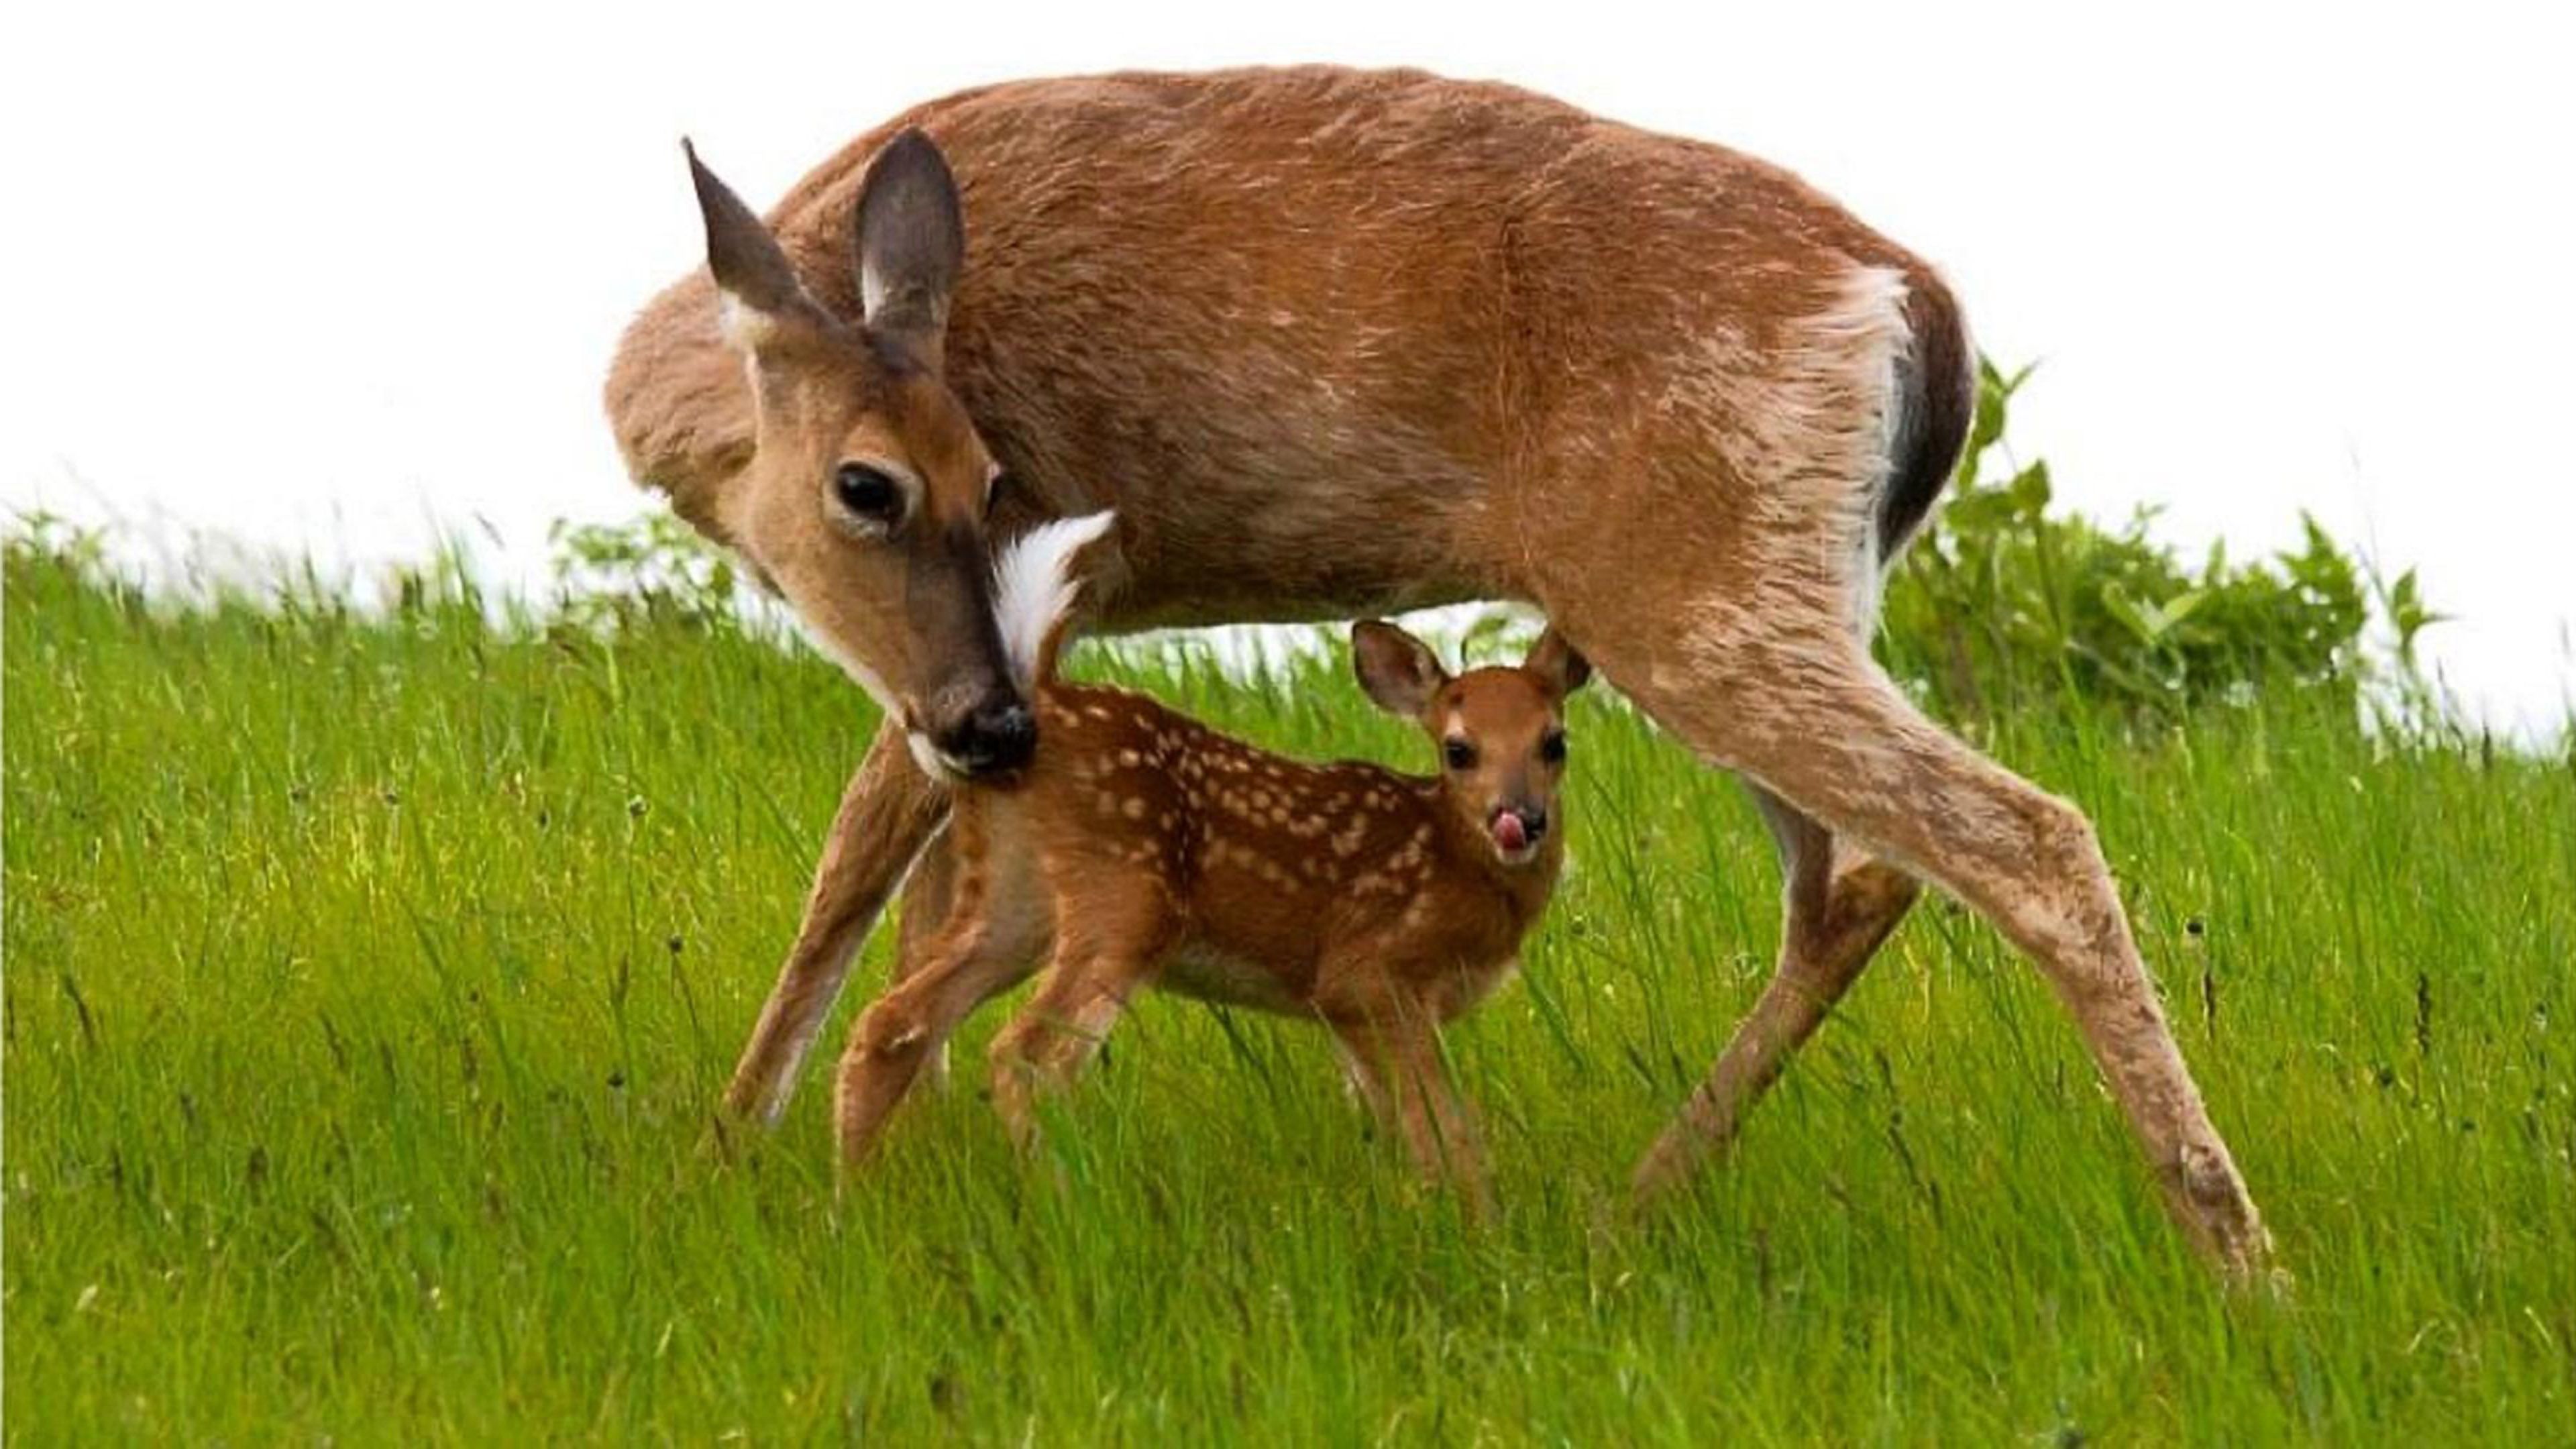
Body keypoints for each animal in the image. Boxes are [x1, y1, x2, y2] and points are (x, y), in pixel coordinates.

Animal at [602, 64, 2277, 1273]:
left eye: (988, 475)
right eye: (879, 482)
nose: (994, 723)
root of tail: (1916, 306)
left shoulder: (1035, 616)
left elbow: (856, 872)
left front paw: (737, 1157)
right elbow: (915, 885)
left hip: (1702, 584)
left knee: (2021, 836)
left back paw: (2240, 1261)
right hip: (1765, 587)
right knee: (1856, 879)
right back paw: (1628, 1208)